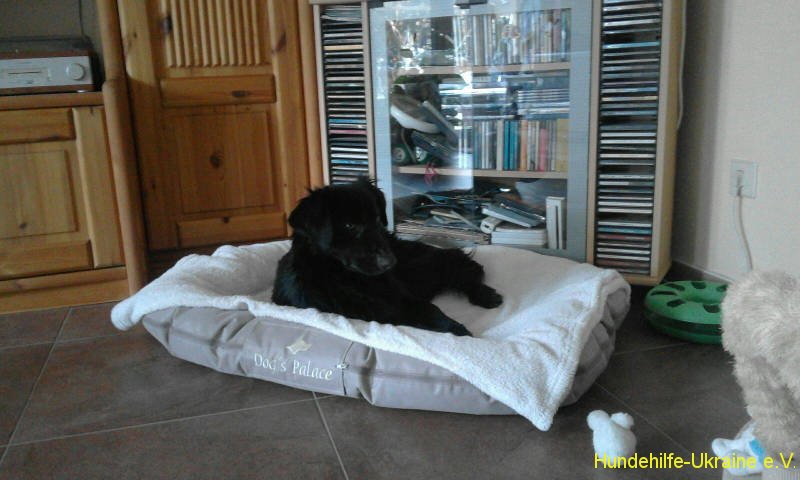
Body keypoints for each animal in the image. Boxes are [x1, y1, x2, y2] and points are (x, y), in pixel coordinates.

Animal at [272, 179, 502, 336]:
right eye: (349, 225)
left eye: (376, 218)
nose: (390, 263)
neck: (349, 278)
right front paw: (456, 332)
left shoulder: (401, 296)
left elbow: (430, 309)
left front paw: (457, 330)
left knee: (458, 265)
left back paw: (485, 295)